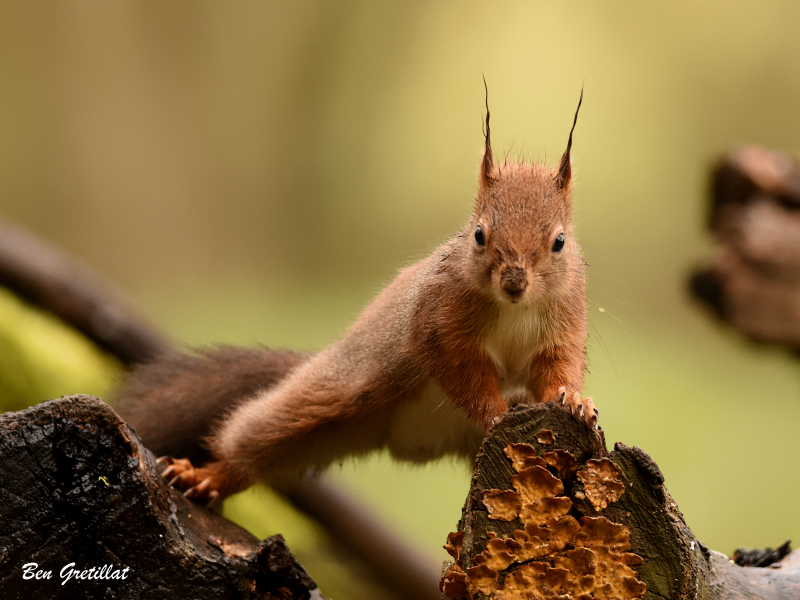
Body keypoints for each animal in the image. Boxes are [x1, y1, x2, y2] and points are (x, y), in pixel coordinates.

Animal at [117, 90, 592, 502]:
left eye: (559, 242)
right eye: (478, 234)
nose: (514, 282)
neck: (516, 309)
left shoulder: (562, 327)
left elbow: (558, 370)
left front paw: (575, 401)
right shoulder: (439, 324)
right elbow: (462, 374)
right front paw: (495, 412)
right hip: (337, 396)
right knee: (254, 438)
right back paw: (209, 475)